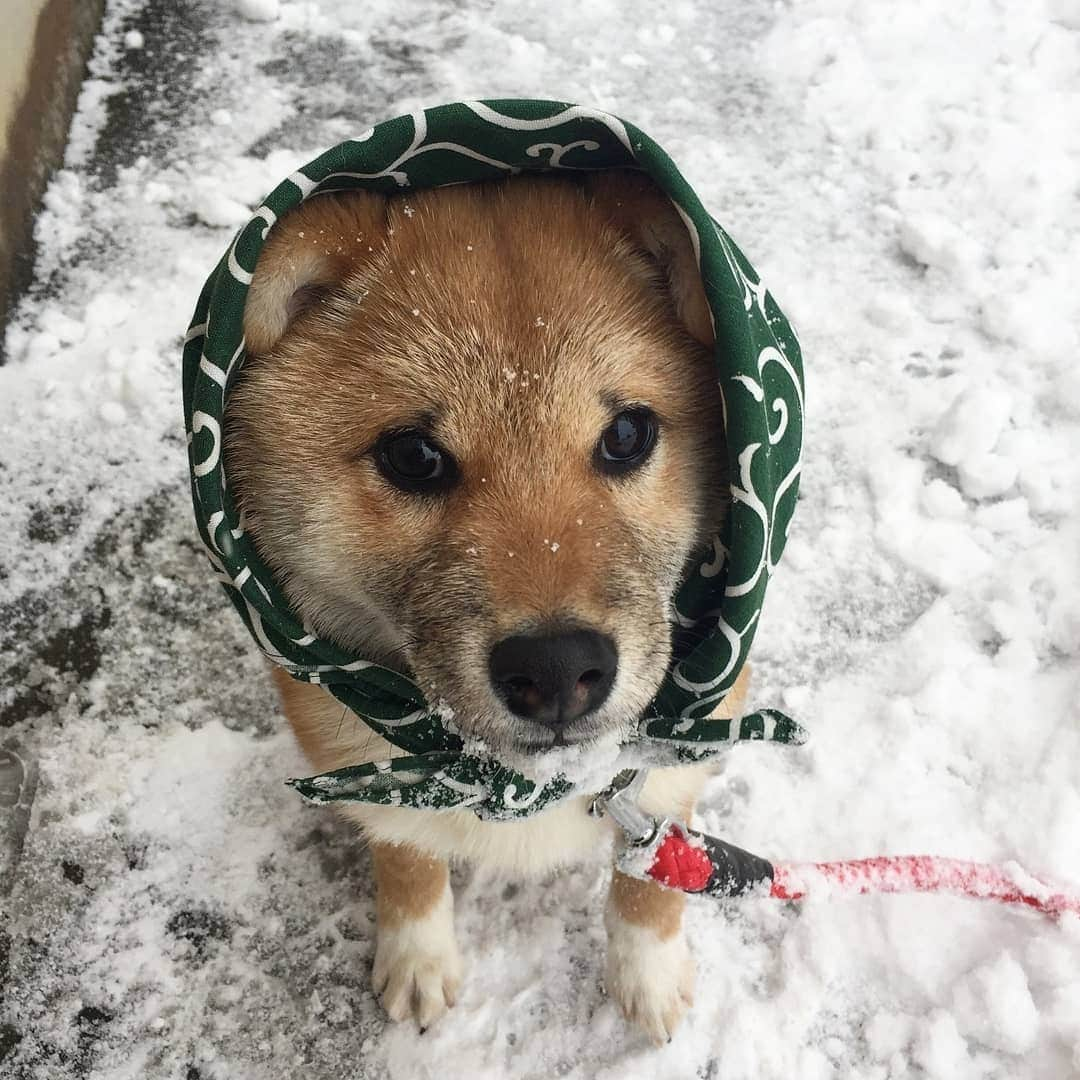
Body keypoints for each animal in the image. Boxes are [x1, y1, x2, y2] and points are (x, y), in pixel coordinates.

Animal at [223, 172, 747, 1041]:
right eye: (413, 455)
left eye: (628, 434)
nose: (558, 668)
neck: (518, 785)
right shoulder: (364, 770)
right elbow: (406, 859)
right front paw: (417, 956)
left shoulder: (679, 755)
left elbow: (648, 876)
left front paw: (647, 972)